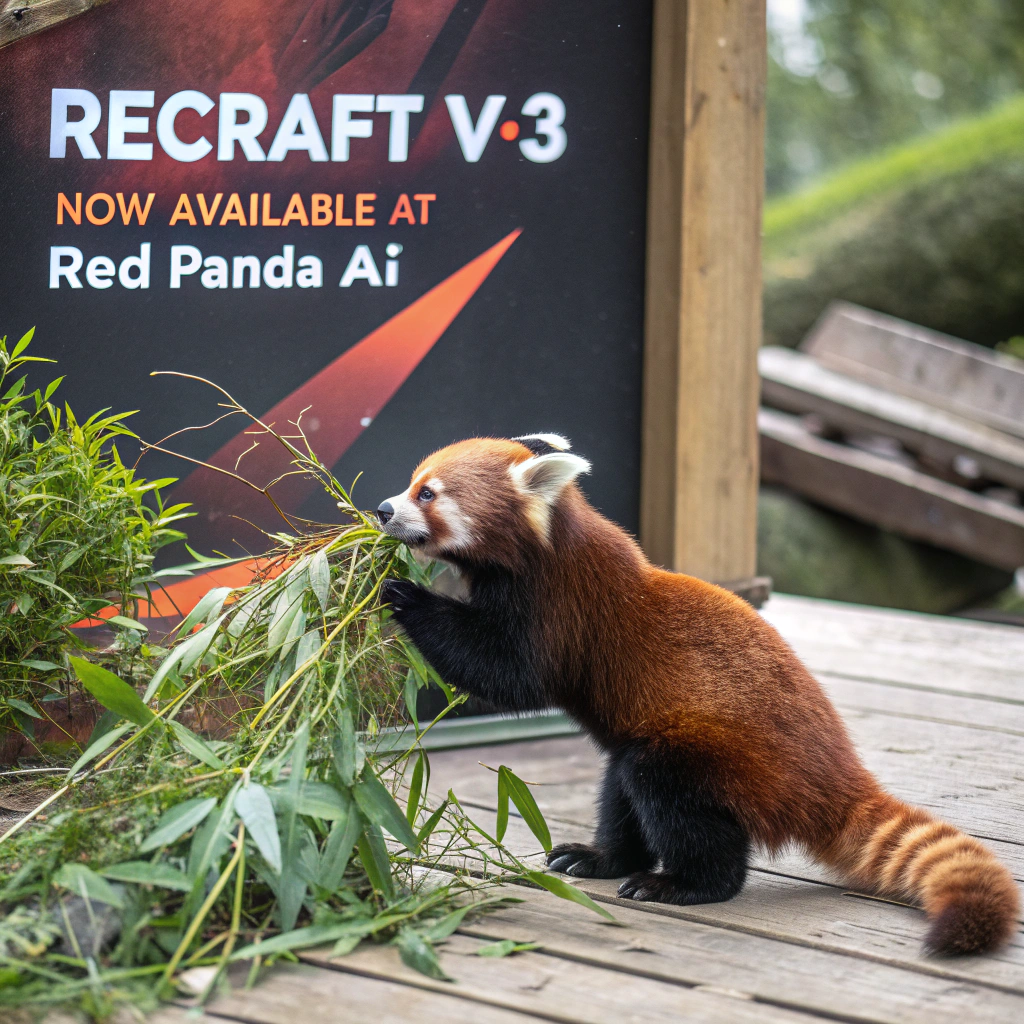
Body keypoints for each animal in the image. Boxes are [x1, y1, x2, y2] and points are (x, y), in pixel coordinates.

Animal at [377, 433, 1018, 955]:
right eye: (409, 482)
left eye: (427, 494)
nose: (382, 509)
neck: (549, 542)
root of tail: (835, 773)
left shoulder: (563, 612)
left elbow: (507, 674)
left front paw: (404, 594)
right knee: (620, 787)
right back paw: (602, 857)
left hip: (717, 756)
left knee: (670, 799)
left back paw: (681, 883)